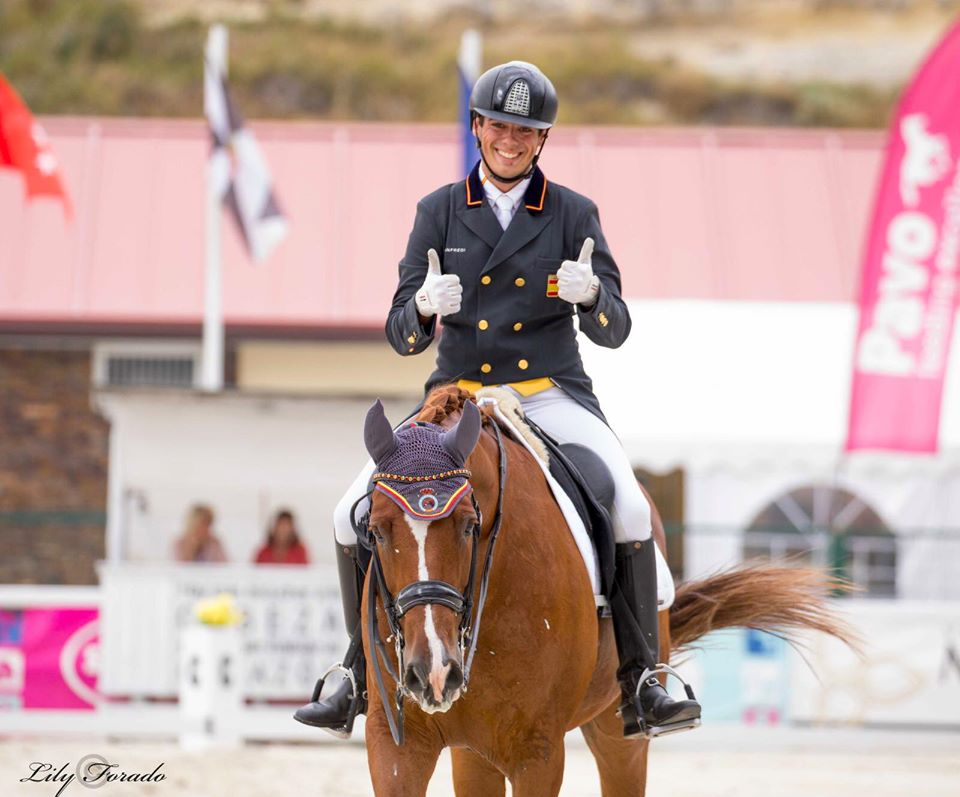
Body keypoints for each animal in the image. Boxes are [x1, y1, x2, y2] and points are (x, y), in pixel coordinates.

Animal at [358, 382, 848, 792]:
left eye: (467, 526)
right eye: (376, 531)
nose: (433, 672)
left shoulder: (537, 751)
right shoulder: (396, 743)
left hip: (617, 730)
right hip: (473, 752)